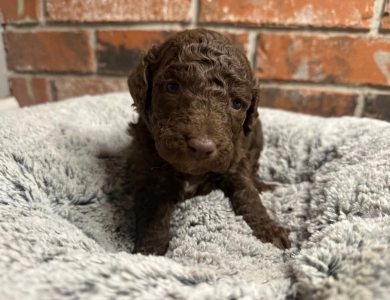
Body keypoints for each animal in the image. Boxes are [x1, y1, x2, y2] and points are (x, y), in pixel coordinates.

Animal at [127, 28, 290, 254]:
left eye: (237, 104)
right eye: (172, 87)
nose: (202, 147)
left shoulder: (236, 162)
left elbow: (248, 196)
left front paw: (269, 229)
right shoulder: (149, 172)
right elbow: (153, 216)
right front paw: (149, 252)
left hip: (257, 138)